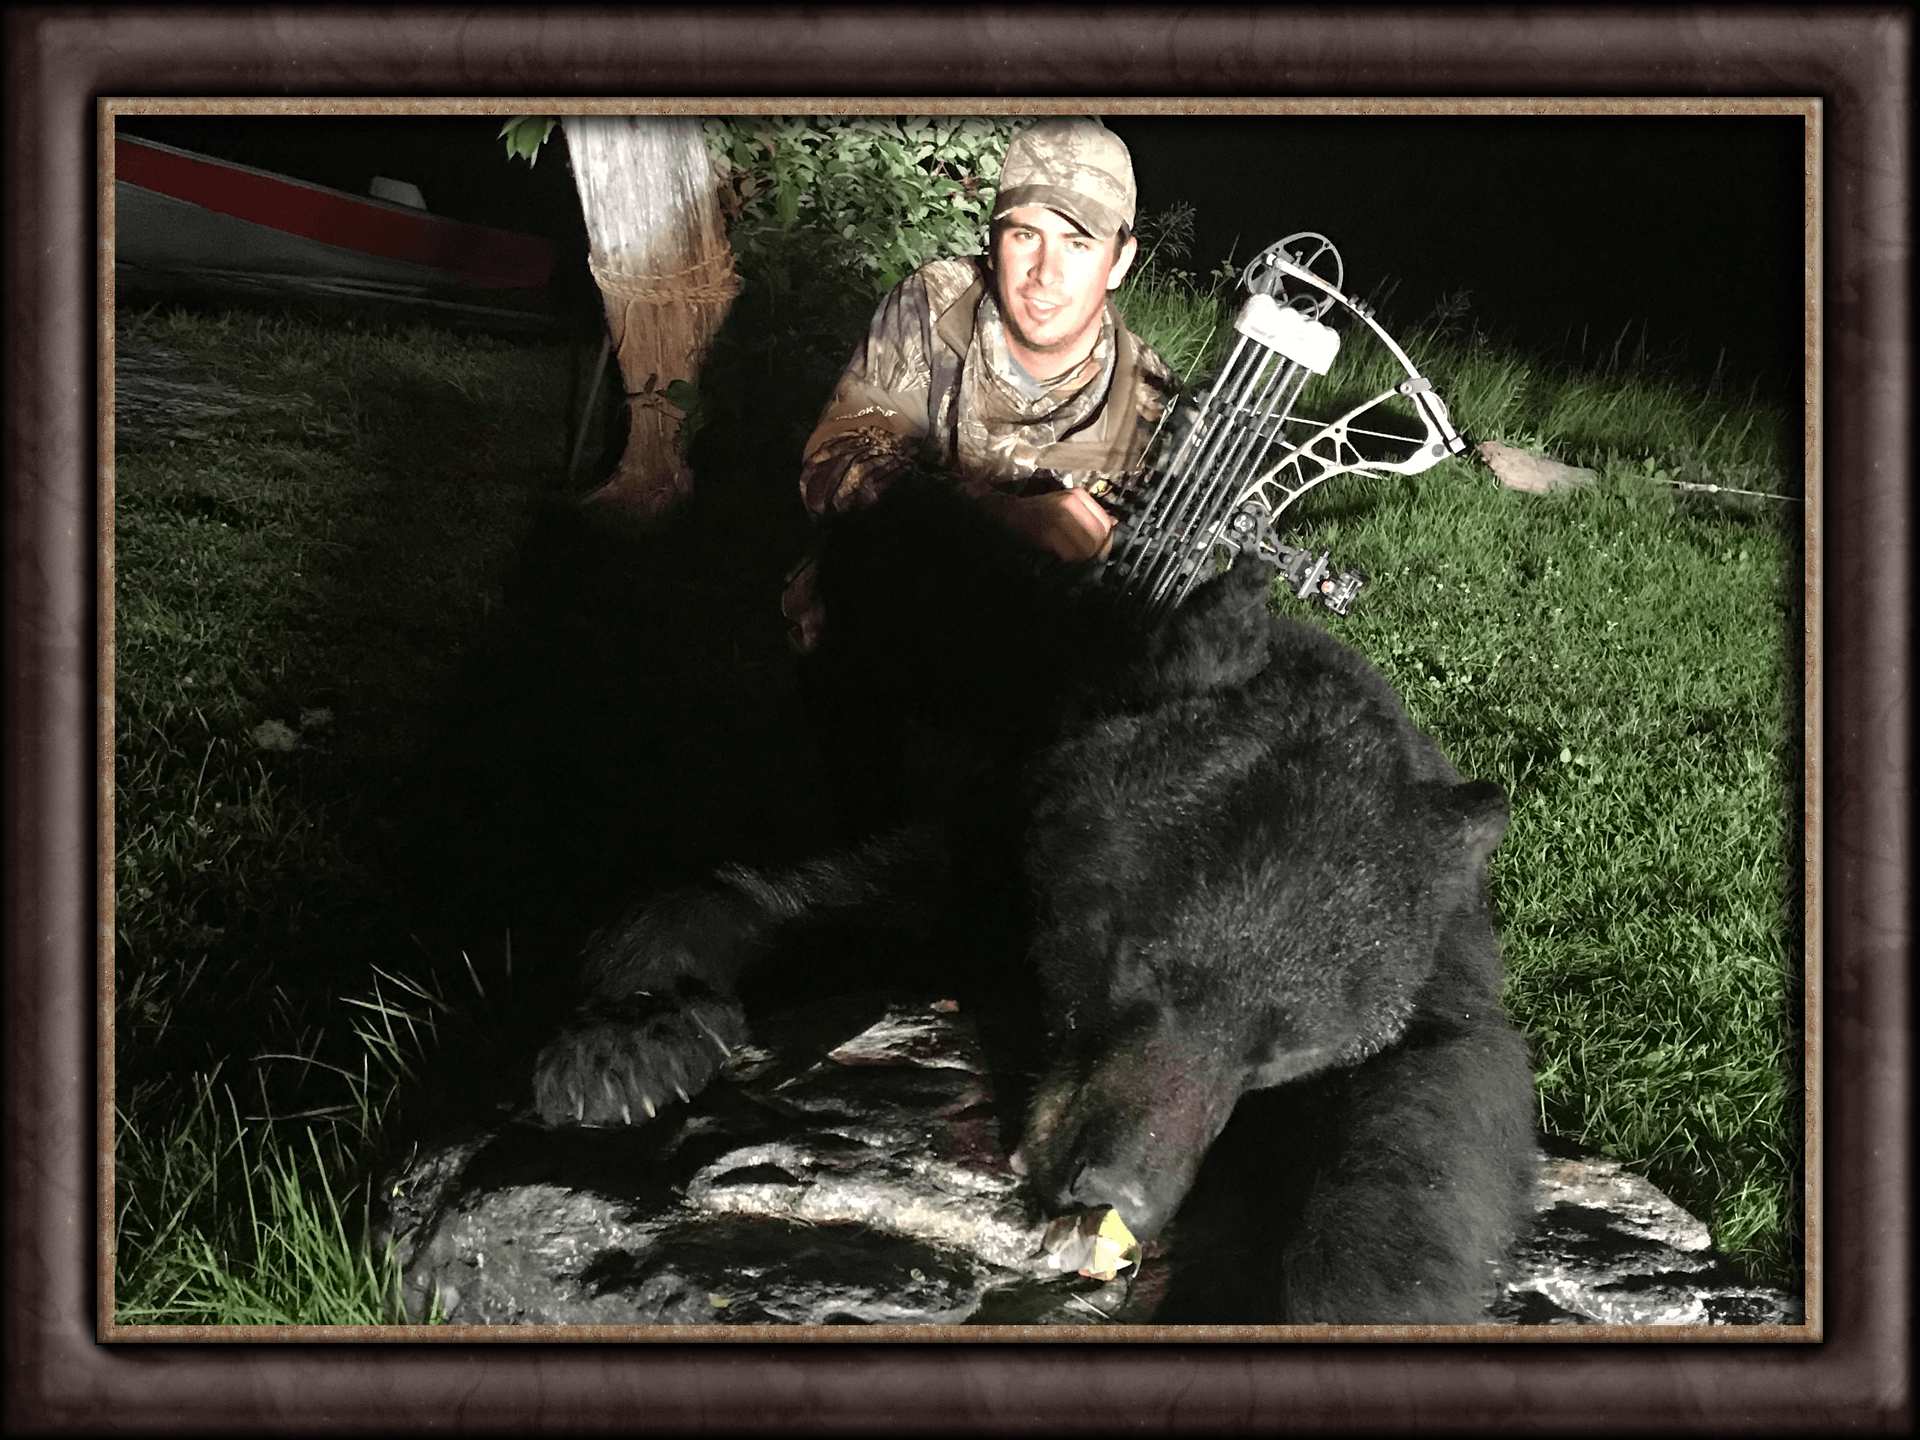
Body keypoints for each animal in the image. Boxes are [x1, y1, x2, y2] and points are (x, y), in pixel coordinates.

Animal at [531, 471, 1538, 1324]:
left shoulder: (1442, 959)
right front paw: (627, 1042)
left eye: (1281, 1056)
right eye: (1135, 964)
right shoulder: (1000, 846)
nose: (1121, 1191)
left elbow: (1441, 1095)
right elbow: (804, 900)